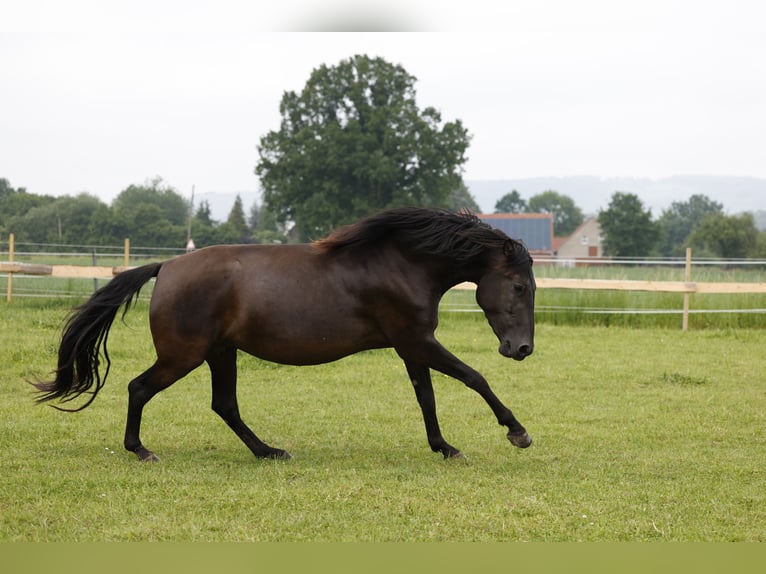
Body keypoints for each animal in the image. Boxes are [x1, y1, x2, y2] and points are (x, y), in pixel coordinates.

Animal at [33, 207, 536, 464]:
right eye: (518, 286)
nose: (522, 349)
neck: (401, 262)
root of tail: (167, 266)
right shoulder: (417, 342)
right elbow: (474, 378)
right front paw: (517, 432)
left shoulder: (412, 346)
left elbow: (426, 398)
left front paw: (444, 447)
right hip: (184, 354)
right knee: (139, 388)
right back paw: (140, 450)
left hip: (221, 352)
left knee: (225, 405)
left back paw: (268, 451)